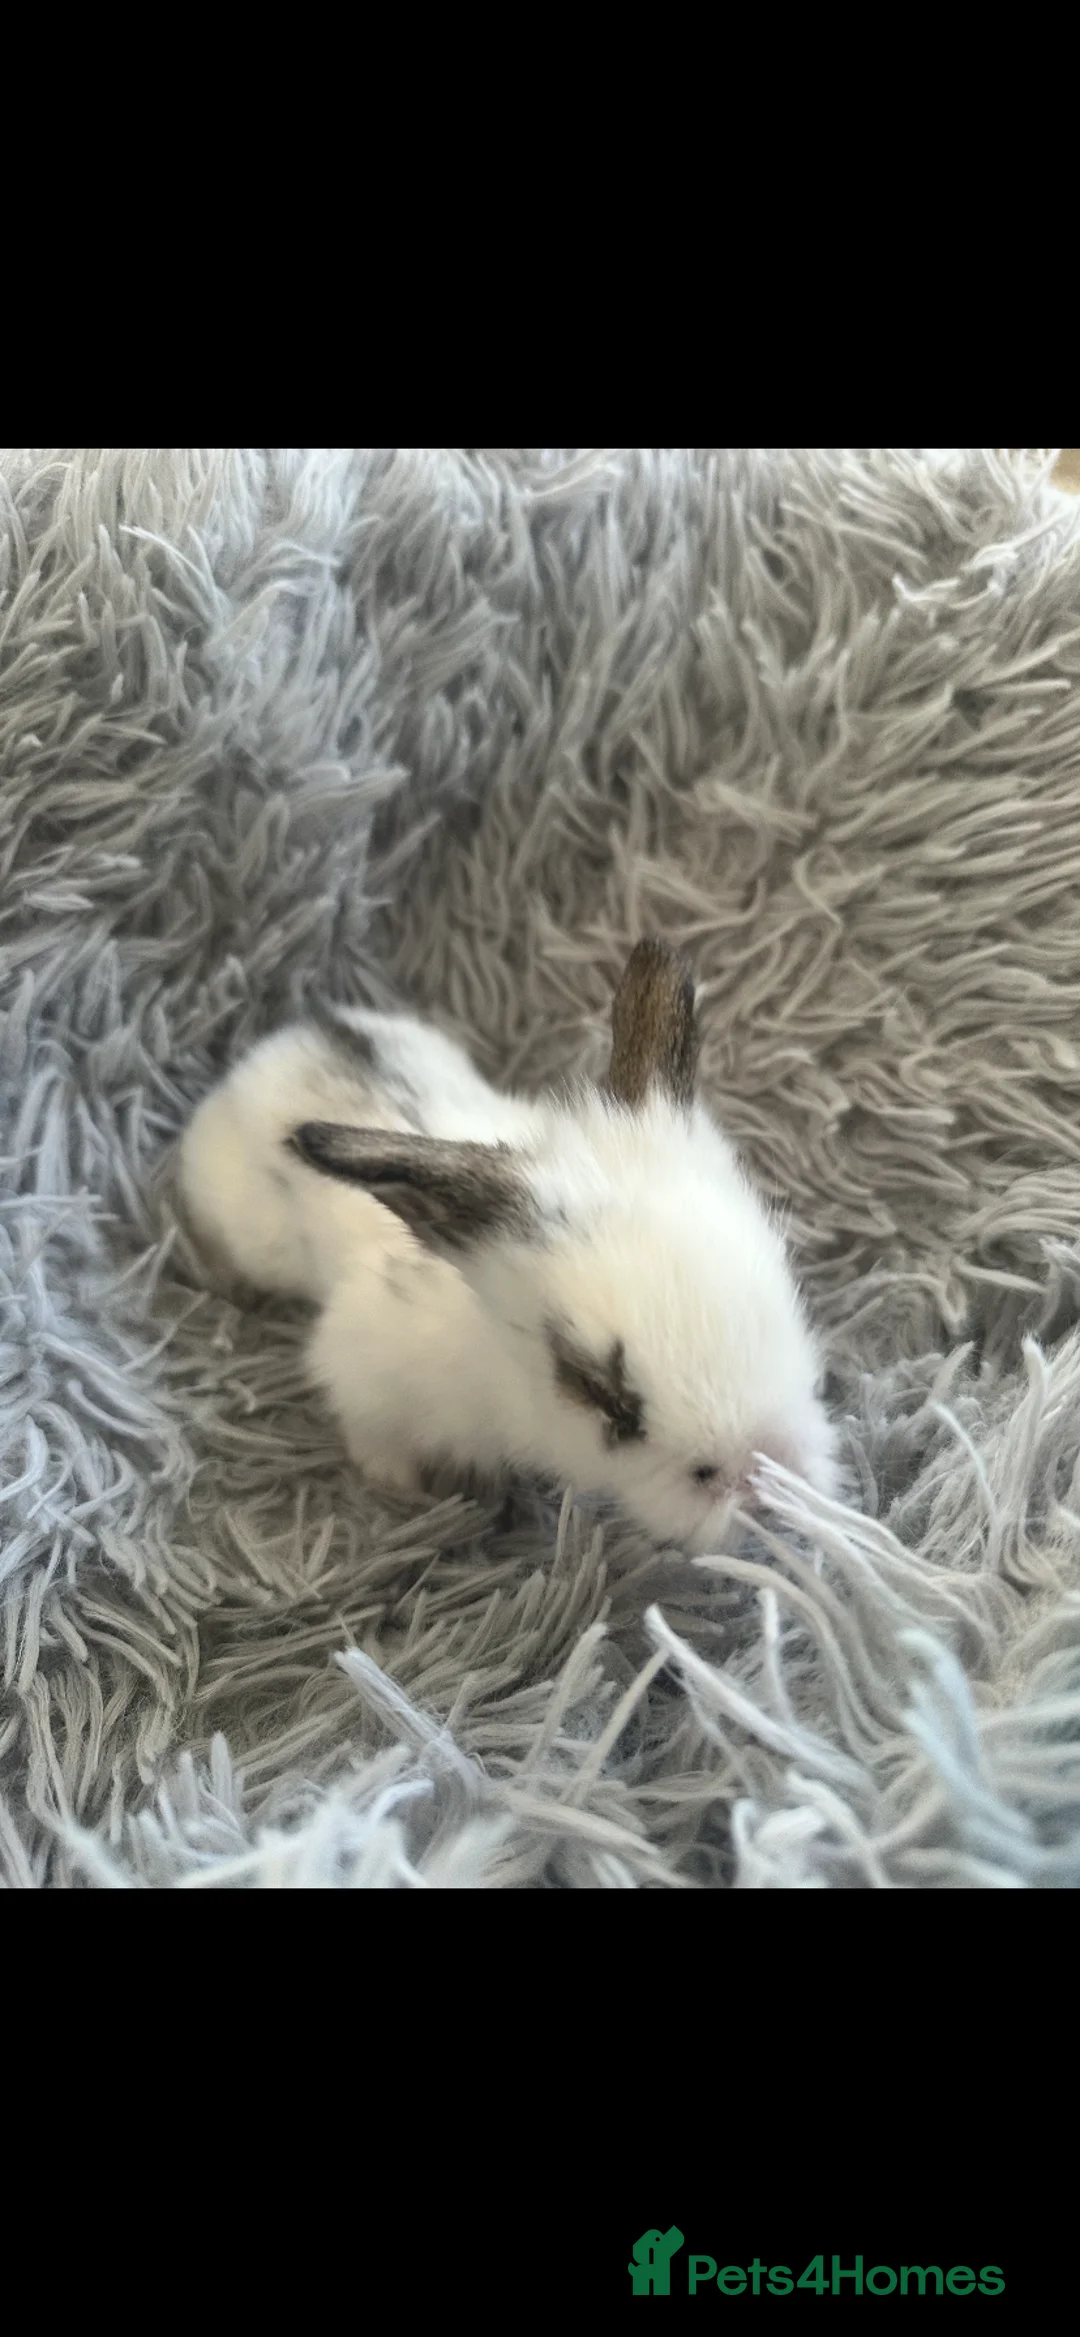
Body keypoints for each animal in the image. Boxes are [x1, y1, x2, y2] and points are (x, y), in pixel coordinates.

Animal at [179, 940, 838, 1553]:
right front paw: (398, 1485)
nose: (757, 1475)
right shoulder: (361, 1371)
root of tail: (287, 1039)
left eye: (786, 1287)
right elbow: (369, 1432)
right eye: (604, 1398)